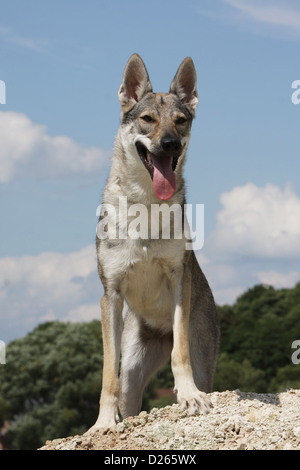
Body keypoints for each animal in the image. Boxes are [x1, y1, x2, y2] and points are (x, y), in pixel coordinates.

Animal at [91, 52, 220, 430]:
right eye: (147, 119)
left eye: (181, 121)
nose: (170, 144)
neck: (147, 205)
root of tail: (158, 333)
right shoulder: (111, 294)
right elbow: (108, 374)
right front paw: (103, 424)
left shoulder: (179, 278)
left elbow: (181, 355)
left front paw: (189, 397)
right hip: (133, 372)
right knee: (127, 395)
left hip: (203, 357)